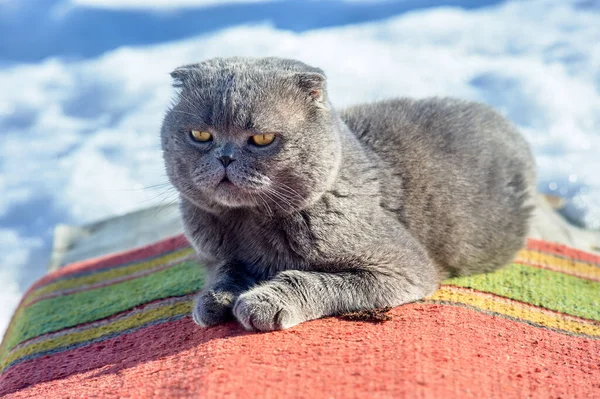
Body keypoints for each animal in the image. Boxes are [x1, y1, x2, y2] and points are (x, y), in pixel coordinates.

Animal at [159, 56, 536, 332]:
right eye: (199, 135)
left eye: (262, 139)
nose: (224, 157)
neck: (250, 223)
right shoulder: (214, 254)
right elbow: (226, 269)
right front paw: (213, 299)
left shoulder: (404, 266)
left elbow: (314, 279)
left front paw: (262, 302)